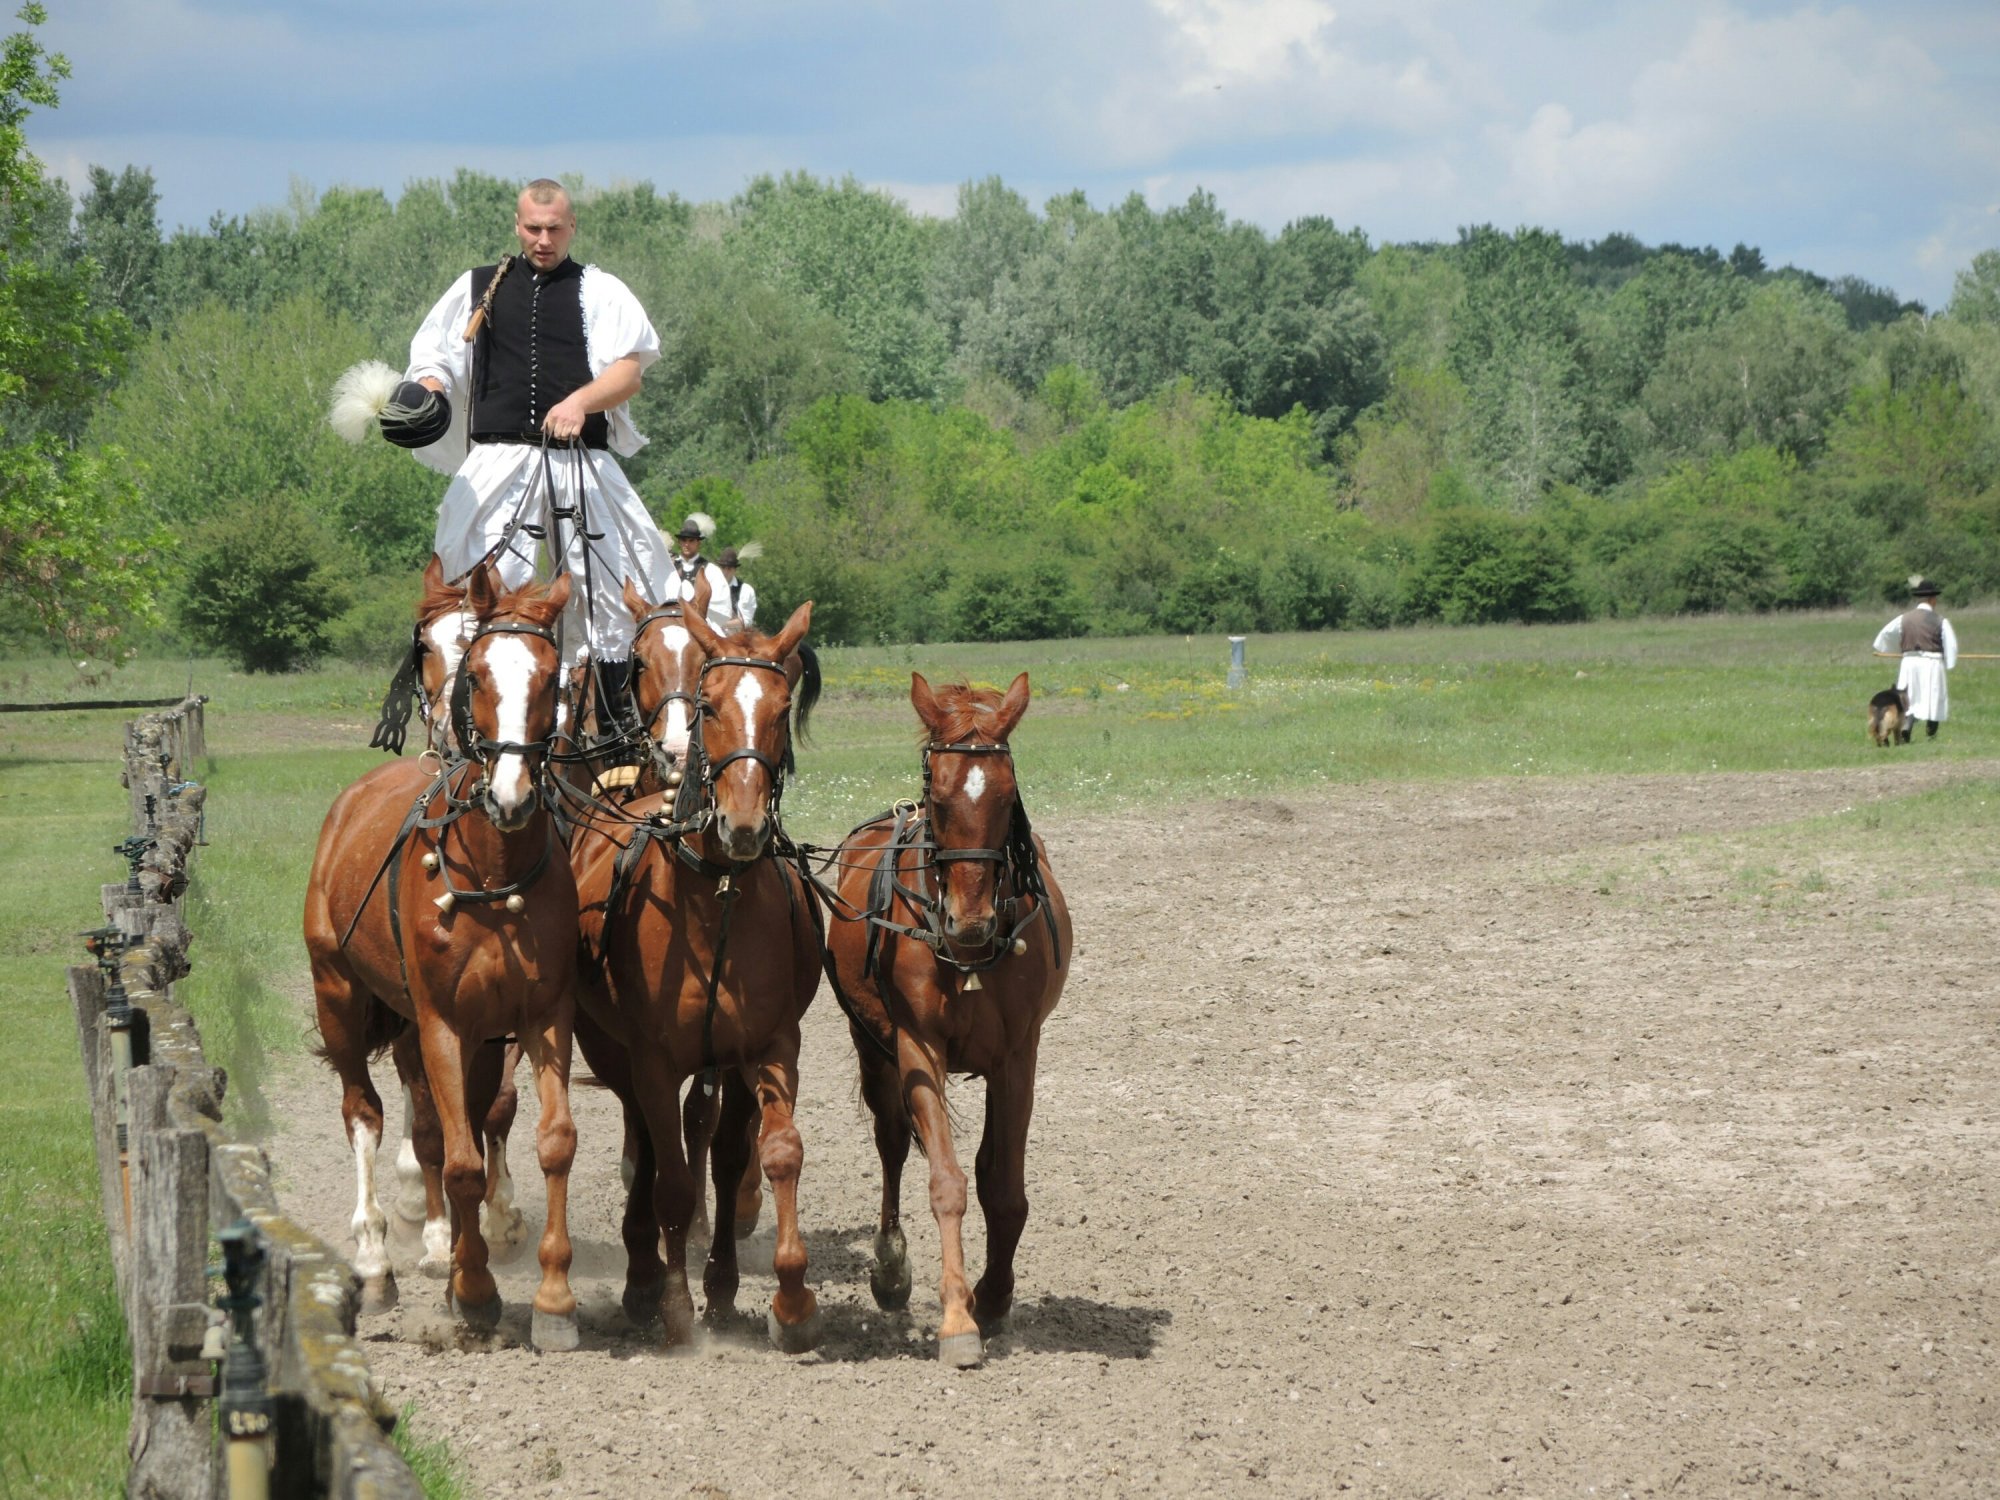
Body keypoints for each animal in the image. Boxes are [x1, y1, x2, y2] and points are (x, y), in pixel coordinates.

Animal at [304, 569, 582, 1349]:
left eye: (551, 675)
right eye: (480, 673)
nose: (513, 794)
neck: (489, 869)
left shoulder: (539, 1017)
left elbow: (548, 1141)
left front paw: (552, 1298)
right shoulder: (439, 1025)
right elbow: (454, 1160)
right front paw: (474, 1288)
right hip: (340, 996)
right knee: (366, 1115)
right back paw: (377, 1263)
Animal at [569, 598, 824, 1349]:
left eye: (779, 707)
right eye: (711, 706)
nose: (742, 823)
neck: (717, 895)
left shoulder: (767, 1047)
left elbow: (771, 1153)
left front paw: (783, 1299)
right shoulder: (652, 1058)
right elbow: (675, 1183)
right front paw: (678, 1309)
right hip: (612, 1048)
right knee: (651, 1152)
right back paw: (642, 1278)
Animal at [818, 672, 1072, 1367]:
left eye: (1009, 793)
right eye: (938, 793)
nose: (971, 922)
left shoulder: (1018, 1057)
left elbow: (1002, 1187)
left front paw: (994, 1298)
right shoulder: (917, 1049)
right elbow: (947, 1182)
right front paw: (958, 1318)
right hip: (871, 1046)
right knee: (890, 1143)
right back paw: (890, 1270)